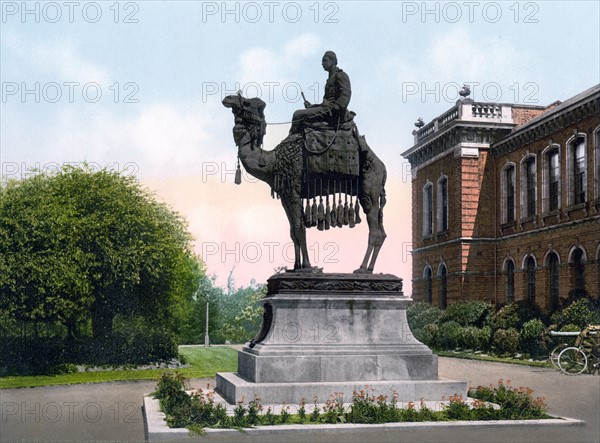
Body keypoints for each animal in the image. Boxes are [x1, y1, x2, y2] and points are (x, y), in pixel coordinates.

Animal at [223, 94, 386, 274]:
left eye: (246, 102)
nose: (227, 98)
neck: (272, 161)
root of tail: (382, 167)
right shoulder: (285, 196)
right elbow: (293, 231)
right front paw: (296, 267)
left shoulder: (293, 191)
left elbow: (299, 229)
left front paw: (307, 267)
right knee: (382, 233)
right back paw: (370, 268)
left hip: (369, 190)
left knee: (375, 230)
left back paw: (362, 269)